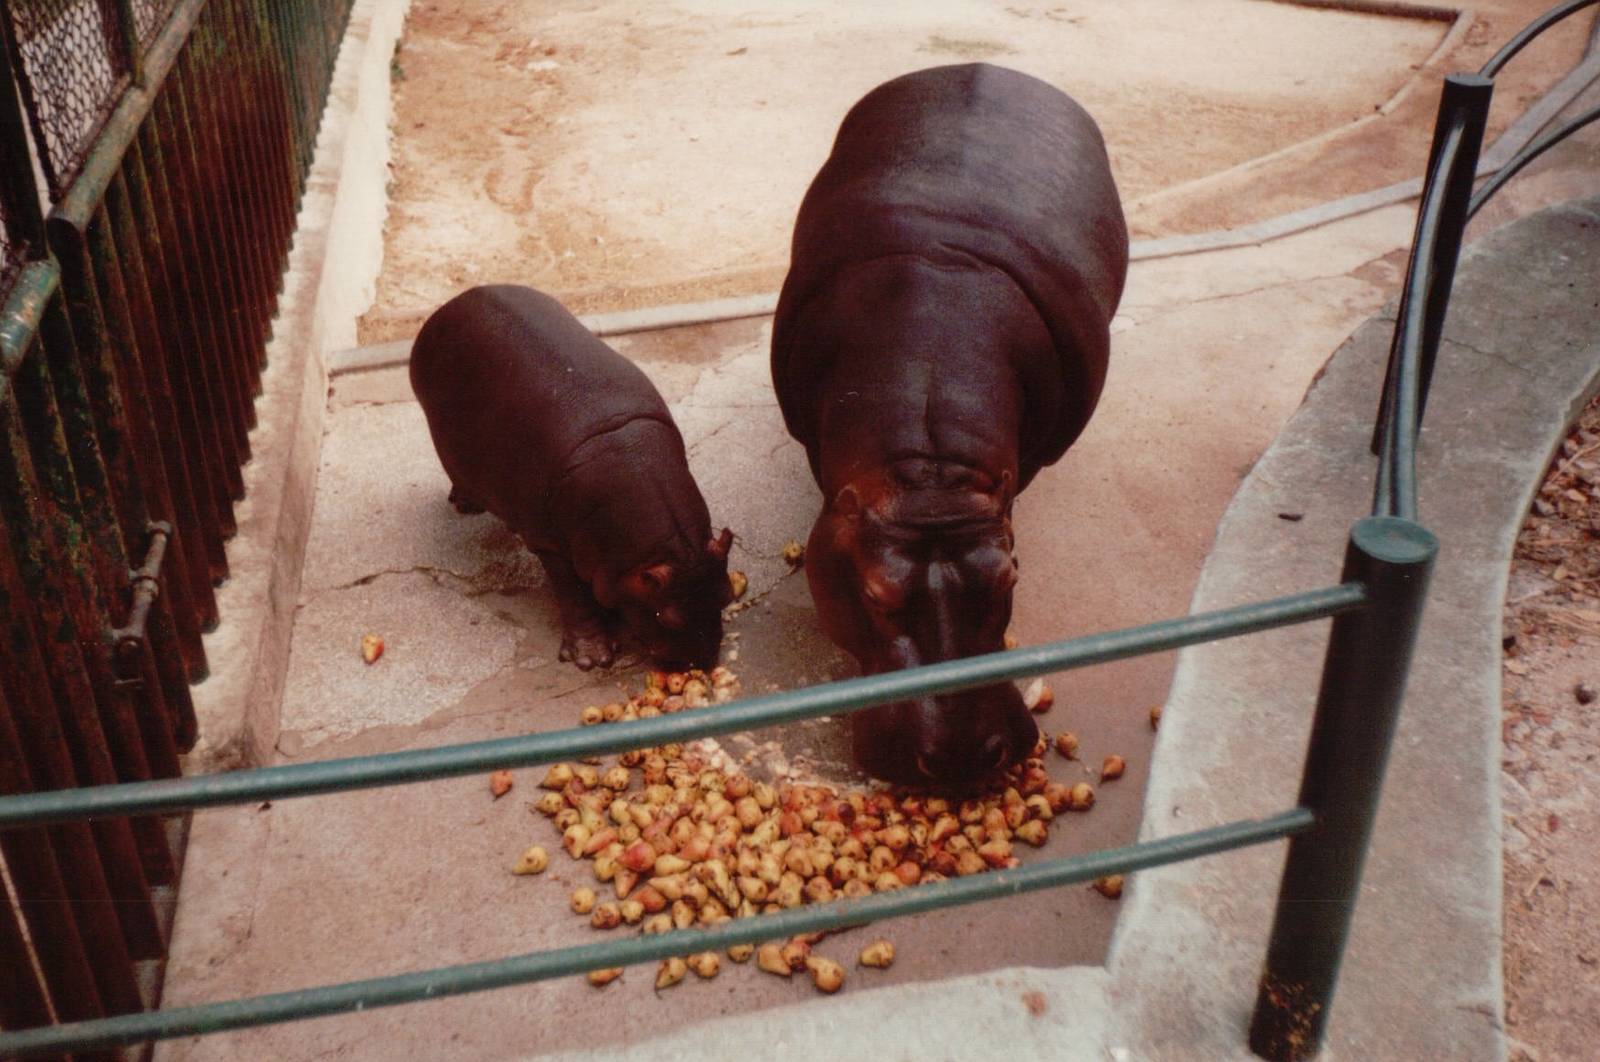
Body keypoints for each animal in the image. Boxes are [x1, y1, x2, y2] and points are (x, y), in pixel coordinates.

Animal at [411, 284, 733, 671]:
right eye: (665, 618)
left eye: (727, 595)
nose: (702, 663)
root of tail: (462, 297)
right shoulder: (549, 541)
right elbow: (574, 594)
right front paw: (591, 657)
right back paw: (464, 504)